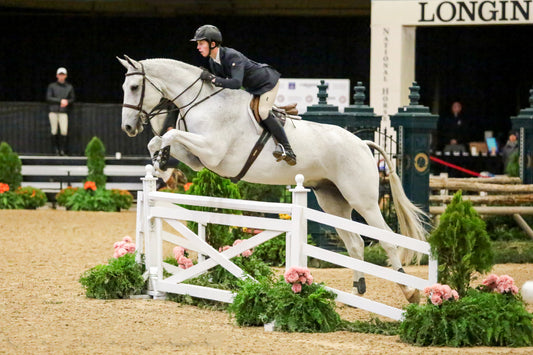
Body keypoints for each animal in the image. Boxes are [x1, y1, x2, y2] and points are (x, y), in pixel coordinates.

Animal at [118, 55, 426, 304]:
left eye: (134, 88)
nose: (128, 127)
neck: (204, 102)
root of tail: (362, 144)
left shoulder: (212, 151)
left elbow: (169, 135)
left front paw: (161, 165)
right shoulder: (198, 156)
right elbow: (161, 140)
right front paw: (161, 168)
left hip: (363, 200)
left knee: (387, 240)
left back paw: (409, 291)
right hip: (332, 201)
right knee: (356, 243)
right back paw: (355, 292)